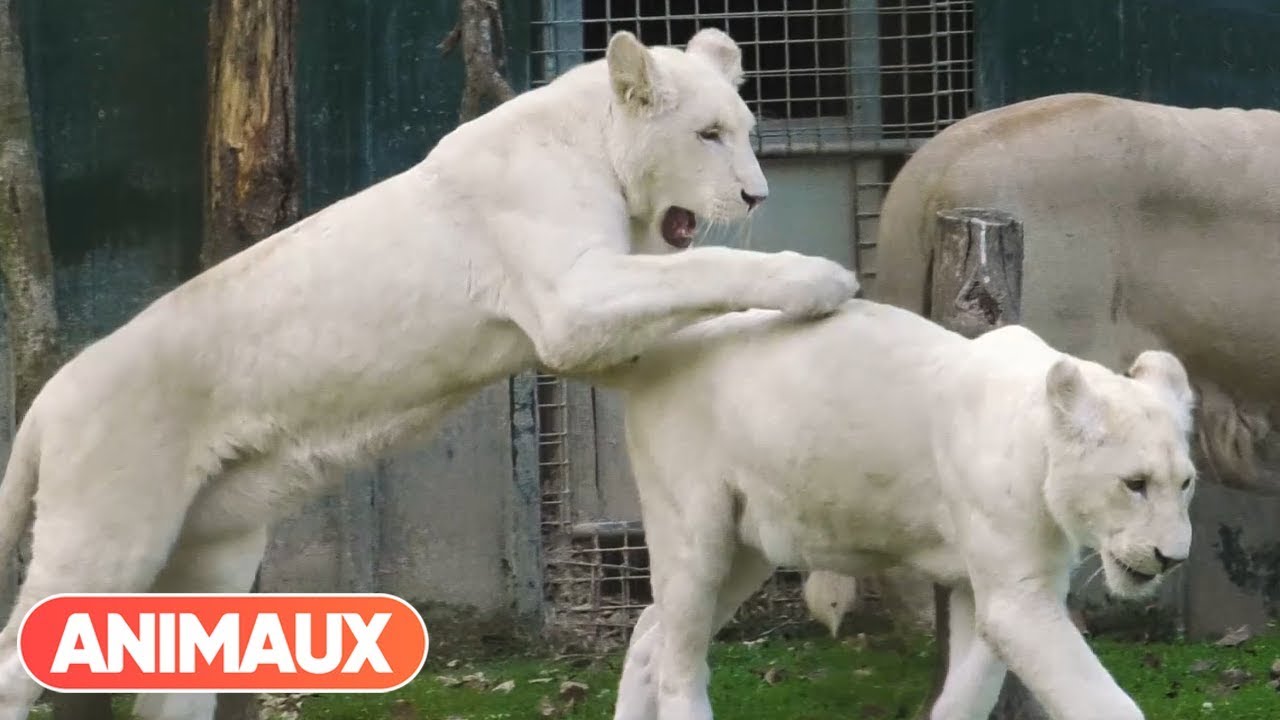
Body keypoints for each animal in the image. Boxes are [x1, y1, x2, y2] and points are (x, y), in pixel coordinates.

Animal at [0, 28, 859, 720]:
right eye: (708, 134)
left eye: (746, 131)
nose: (757, 194)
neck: (600, 149)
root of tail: (48, 396)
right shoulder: (571, 303)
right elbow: (707, 267)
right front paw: (819, 278)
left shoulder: (586, 329)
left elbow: (689, 298)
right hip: (105, 535)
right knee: (17, 660)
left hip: (212, 550)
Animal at [590, 299, 1196, 720]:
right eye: (1135, 484)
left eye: (1185, 483)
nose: (1173, 558)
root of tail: (661, 347)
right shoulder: (1018, 598)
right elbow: (1099, 700)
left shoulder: (987, 591)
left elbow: (967, 696)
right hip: (695, 536)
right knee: (678, 665)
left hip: (744, 551)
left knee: (648, 636)